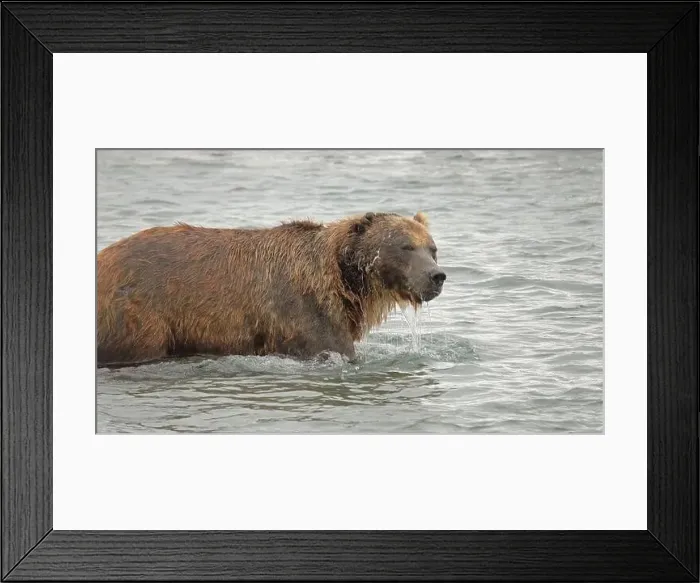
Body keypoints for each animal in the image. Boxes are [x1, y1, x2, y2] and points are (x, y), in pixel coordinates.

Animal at [96, 211, 446, 367]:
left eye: (432, 248)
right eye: (405, 246)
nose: (437, 276)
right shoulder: (306, 313)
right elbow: (333, 348)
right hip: (139, 314)